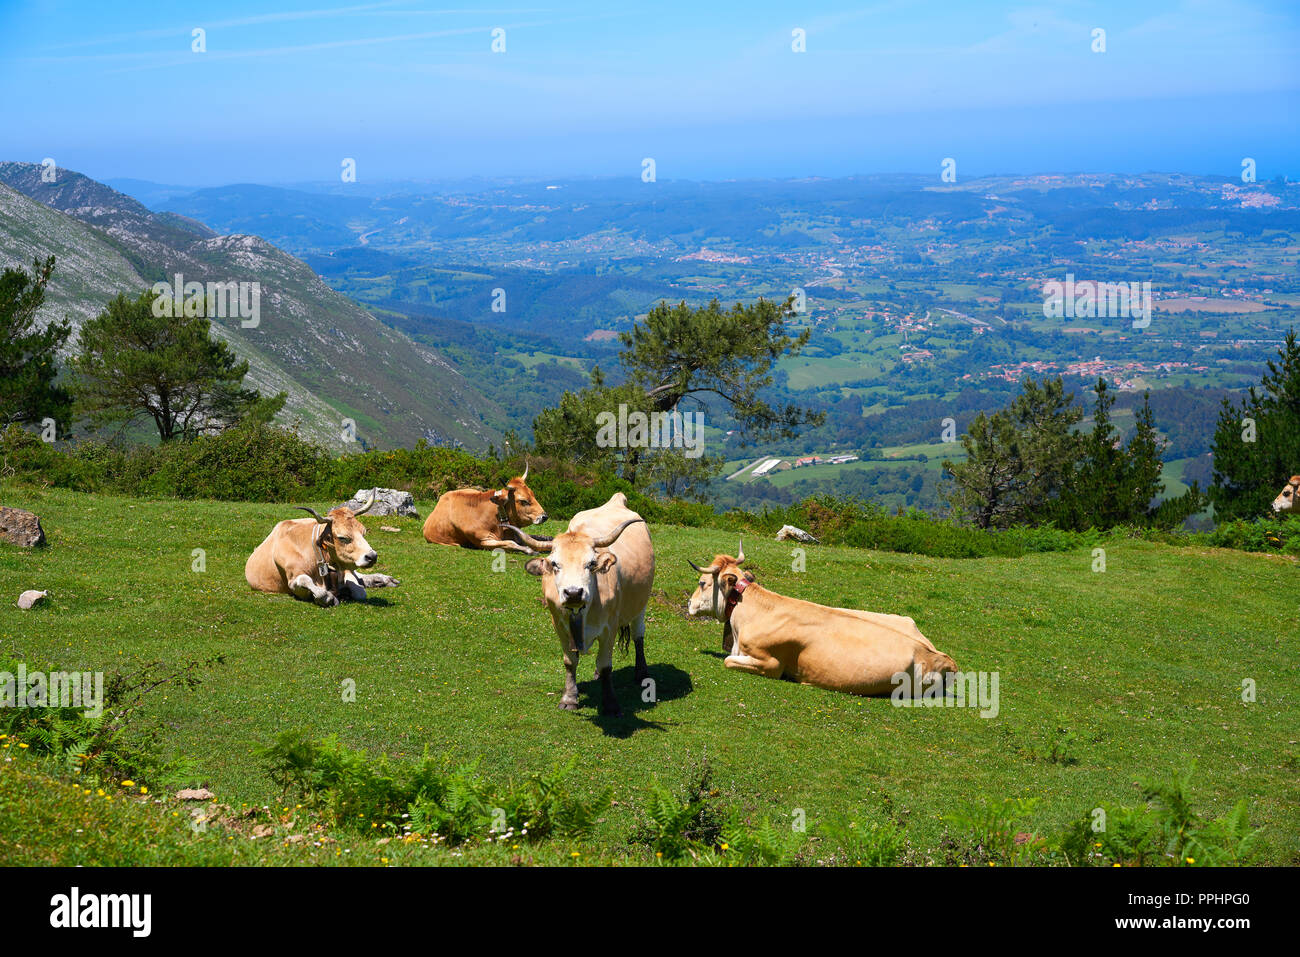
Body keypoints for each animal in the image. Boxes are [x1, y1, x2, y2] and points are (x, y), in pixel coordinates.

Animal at [245, 492, 401, 607]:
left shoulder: (344, 570)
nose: (372, 556)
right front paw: (328, 597)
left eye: (364, 532)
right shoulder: (293, 582)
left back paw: (383, 579)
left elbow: (359, 591)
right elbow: (310, 584)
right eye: (342, 537)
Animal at [507, 493, 654, 716]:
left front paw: (610, 703)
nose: (574, 592)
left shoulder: (610, 626)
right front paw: (569, 698)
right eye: (554, 564)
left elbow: (606, 664)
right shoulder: (559, 626)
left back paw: (641, 672)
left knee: (638, 635)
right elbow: (570, 661)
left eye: (591, 564)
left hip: (640, 605)